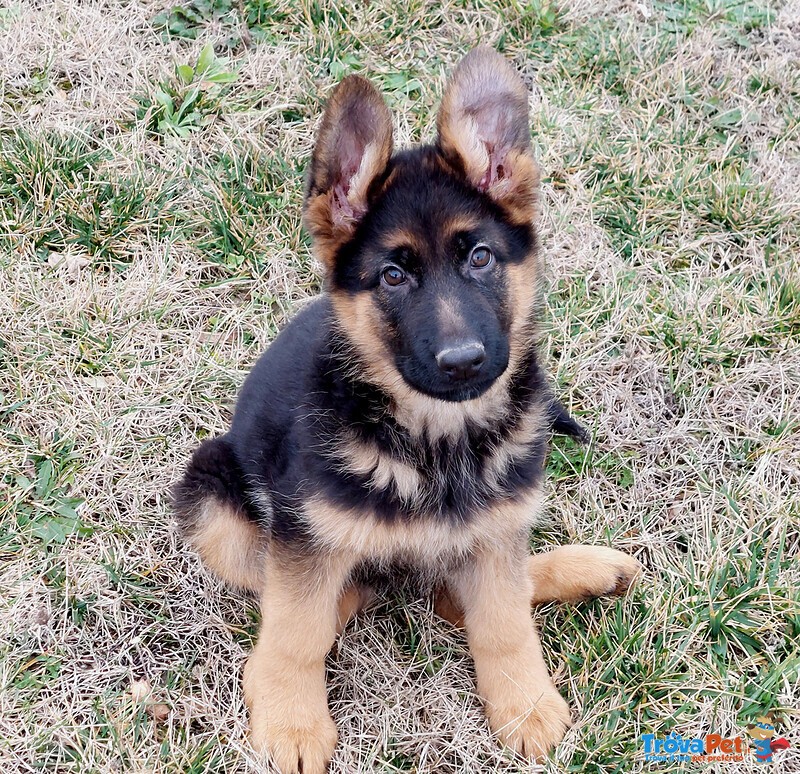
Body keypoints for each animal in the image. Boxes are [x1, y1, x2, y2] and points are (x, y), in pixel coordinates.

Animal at [173, 47, 636, 768]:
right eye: (393, 275)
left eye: (481, 258)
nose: (464, 361)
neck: (436, 440)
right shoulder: (307, 538)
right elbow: (296, 631)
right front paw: (292, 720)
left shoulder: (495, 530)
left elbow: (504, 622)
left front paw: (523, 702)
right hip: (212, 493)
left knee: (461, 595)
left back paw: (589, 569)